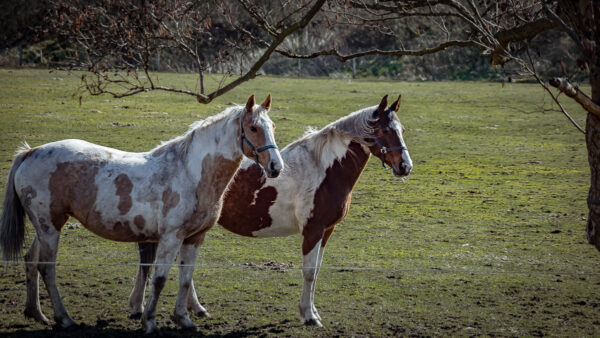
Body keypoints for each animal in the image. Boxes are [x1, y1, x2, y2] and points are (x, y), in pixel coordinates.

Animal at [0, 93, 284, 332]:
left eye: (272, 127)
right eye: (253, 128)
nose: (276, 166)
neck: (190, 173)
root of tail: (31, 152)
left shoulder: (194, 238)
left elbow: (185, 279)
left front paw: (184, 319)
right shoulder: (170, 237)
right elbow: (159, 279)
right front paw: (150, 321)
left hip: (49, 225)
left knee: (31, 261)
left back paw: (37, 314)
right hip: (49, 228)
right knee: (47, 268)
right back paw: (64, 318)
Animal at [131, 93, 412, 326]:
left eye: (401, 129)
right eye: (384, 129)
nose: (405, 166)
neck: (323, 169)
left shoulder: (326, 231)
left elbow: (317, 271)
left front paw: (313, 311)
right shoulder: (312, 230)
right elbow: (309, 273)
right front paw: (309, 316)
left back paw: (192, 308)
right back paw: (142, 307)